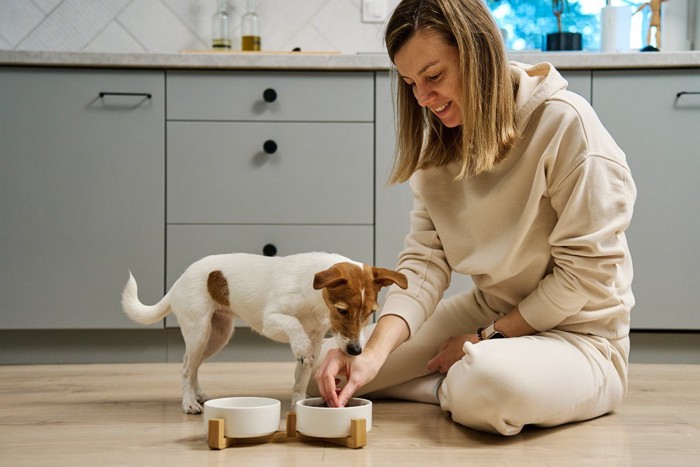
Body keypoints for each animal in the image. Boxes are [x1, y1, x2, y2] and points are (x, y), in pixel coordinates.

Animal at [119, 252, 404, 414]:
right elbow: (294, 327)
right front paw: (299, 347)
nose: (355, 351)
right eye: (342, 310)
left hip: (217, 335)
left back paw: (198, 394)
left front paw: (298, 403)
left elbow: (301, 379)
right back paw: (189, 403)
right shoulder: (272, 320)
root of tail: (179, 281)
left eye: (370, 313)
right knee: (186, 368)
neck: (314, 298)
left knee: (193, 365)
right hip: (199, 331)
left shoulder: (316, 339)